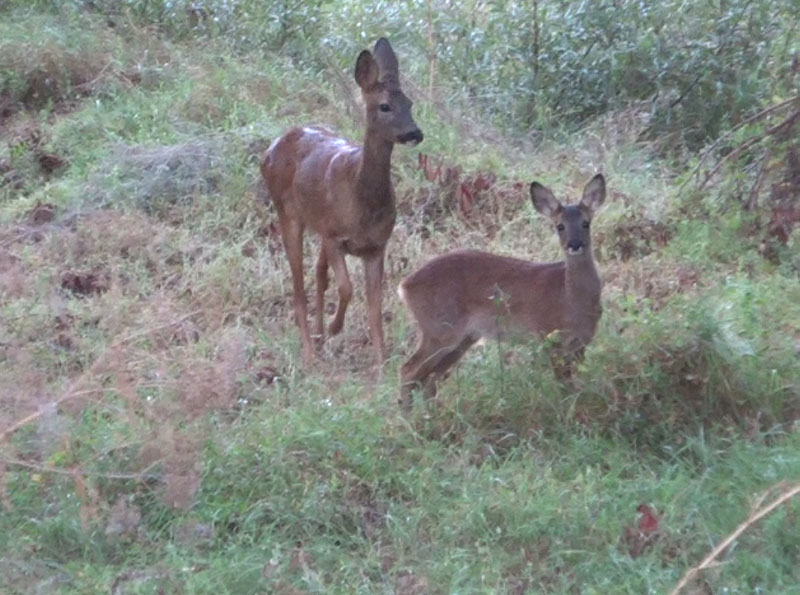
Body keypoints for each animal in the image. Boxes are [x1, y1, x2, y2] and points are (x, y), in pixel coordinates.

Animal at [262, 38, 424, 368]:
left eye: (410, 103)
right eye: (384, 106)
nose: (415, 133)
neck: (363, 201)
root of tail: (271, 148)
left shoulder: (376, 245)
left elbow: (375, 306)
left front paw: (381, 363)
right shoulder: (335, 236)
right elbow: (347, 288)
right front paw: (336, 328)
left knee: (317, 273)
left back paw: (318, 336)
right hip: (288, 213)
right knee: (298, 285)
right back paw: (310, 352)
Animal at [400, 173, 608, 410]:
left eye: (586, 223)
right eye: (560, 226)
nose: (574, 244)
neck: (568, 297)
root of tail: (405, 286)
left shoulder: (581, 343)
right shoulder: (549, 338)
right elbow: (565, 387)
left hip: (463, 338)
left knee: (428, 379)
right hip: (439, 329)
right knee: (408, 371)